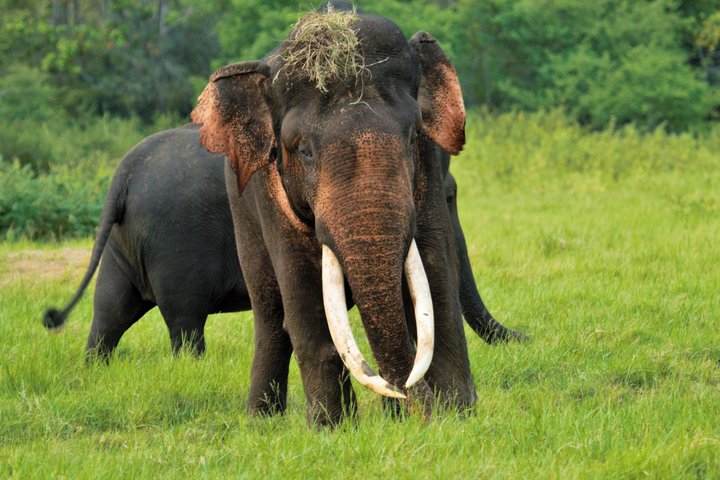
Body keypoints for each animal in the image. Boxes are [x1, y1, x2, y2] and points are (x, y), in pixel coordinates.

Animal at [43, 124, 523, 360]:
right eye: (450, 196)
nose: (528, 336)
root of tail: (121, 178)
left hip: (122, 243)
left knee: (109, 314)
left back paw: (95, 364)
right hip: (175, 245)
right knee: (184, 321)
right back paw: (193, 365)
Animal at [190, 8, 503, 424]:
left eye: (412, 136)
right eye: (304, 151)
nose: (410, 400)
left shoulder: (431, 177)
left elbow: (436, 278)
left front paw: (457, 413)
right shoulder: (272, 202)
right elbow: (303, 300)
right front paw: (331, 428)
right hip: (242, 214)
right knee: (271, 315)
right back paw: (262, 420)